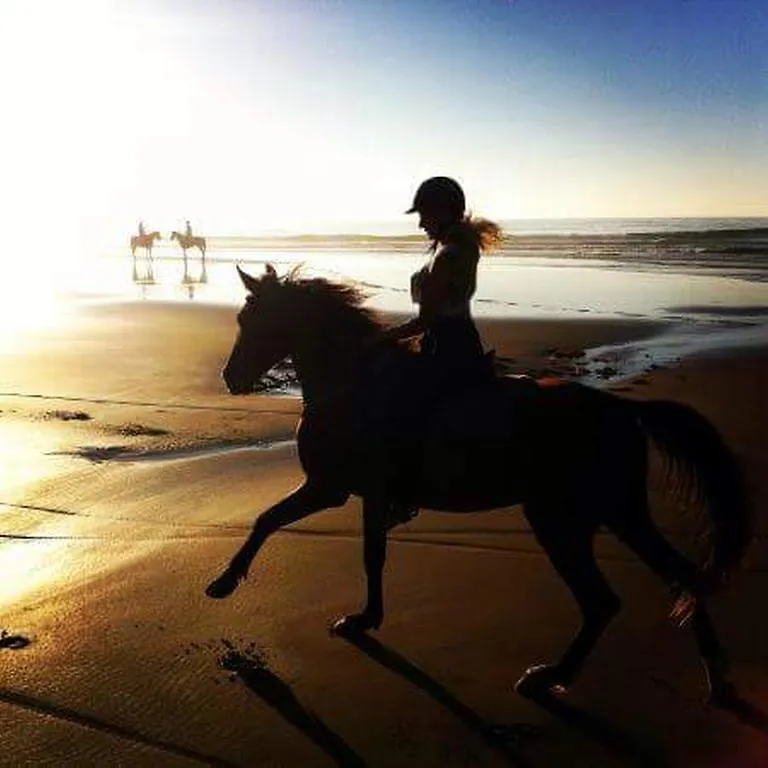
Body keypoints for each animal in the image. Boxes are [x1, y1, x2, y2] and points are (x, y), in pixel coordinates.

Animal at [206, 266, 752, 708]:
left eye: (254, 321)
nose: (231, 378)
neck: (355, 385)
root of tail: (620, 408)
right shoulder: (352, 493)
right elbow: (334, 541)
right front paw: (360, 616)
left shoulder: (333, 488)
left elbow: (296, 529)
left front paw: (226, 584)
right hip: (611, 514)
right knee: (676, 578)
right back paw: (716, 681)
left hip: (570, 518)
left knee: (607, 599)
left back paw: (551, 676)